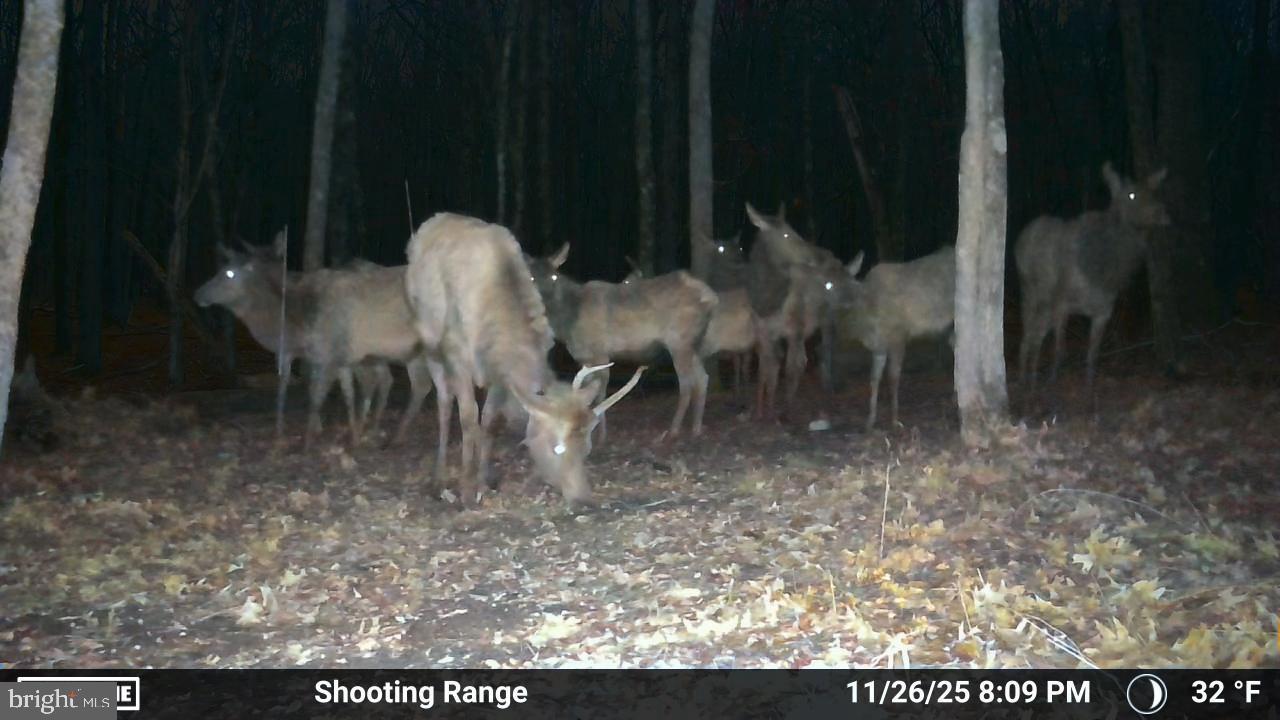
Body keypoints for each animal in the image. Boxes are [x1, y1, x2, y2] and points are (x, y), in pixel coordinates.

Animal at [194, 233, 434, 447]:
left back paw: (394, 435)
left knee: (417, 384)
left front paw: (308, 441)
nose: (198, 294)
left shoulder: (329, 354)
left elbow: (316, 395)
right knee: (415, 384)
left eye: (229, 273)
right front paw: (351, 434)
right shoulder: (330, 357)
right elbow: (340, 391)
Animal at [404, 213, 644, 506]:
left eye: (586, 447)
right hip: (430, 342)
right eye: (556, 448)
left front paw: (484, 481)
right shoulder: (457, 354)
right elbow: (469, 419)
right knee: (443, 402)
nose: (583, 498)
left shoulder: (499, 373)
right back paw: (438, 479)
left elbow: (490, 421)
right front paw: (467, 490)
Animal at [526, 243, 717, 441]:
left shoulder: (600, 352)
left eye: (553, 276)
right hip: (693, 343)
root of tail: (711, 298)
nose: (542, 300)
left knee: (687, 382)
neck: (568, 323)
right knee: (702, 378)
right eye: (531, 277)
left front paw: (601, 435)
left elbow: (601, 393)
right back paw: (696, 427)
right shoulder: (583, 358)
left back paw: (674, 428)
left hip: (679, 341)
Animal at [829, 245, 956, 431]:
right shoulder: (878, 347)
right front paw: (870, 421)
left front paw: (895, 420)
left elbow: (893, 378)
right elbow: (874, 379)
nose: (845, 302)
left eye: (850, 282)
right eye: (829, 285)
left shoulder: (899, 335)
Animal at [1015, 162, 1171, 392]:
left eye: (1153, 191)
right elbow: (1060, 351)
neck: (1104, 271)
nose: (1162, 213)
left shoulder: (1103, 312)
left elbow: (1093, 355)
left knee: (1035, 335)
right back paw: (1025, 379)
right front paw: (1051, 384)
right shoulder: (1062, 303)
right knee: (1028, 337)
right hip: (1031, 293)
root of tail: (1021, 238)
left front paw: (1089, 388)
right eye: (1131, 194)